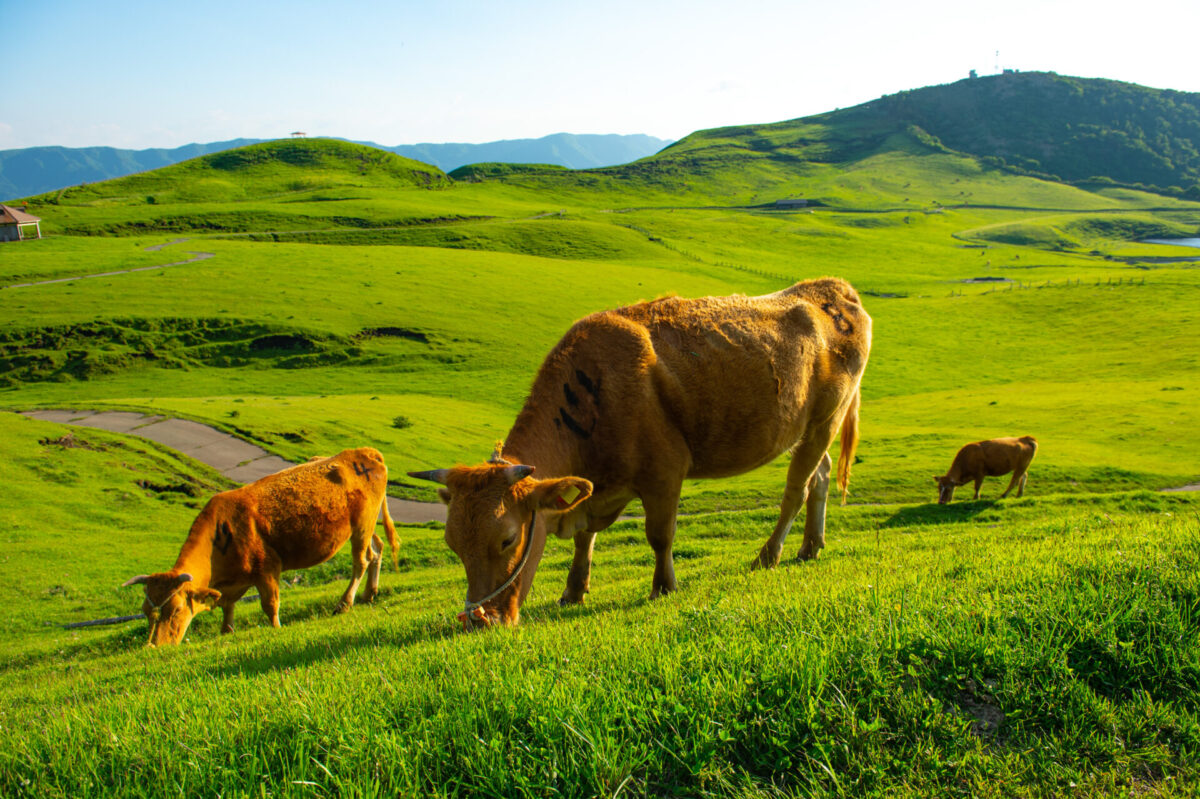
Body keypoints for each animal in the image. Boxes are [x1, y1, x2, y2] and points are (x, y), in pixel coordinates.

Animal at [125, 443, 398, 643]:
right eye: (146, 612)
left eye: (176, 610)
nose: (155, 646)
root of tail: (362, 452)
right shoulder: (234, 582)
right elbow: (226, 605)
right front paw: (226, 631)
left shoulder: (266, 568)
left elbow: (269, 604)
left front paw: (276, 628)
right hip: (366, 525)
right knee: (376, 550)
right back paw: (369, 594)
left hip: (362, 524)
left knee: (361, 561)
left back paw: (344, 603)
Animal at [412, 278, 873, 628]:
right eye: (453, 544)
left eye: (508, 539)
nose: (479, 620)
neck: (590, 395)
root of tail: (832, 288)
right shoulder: (595, 487)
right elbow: (584, 537)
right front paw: (573, 590)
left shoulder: (664, 472)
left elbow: (659, 534)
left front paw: (663, 587)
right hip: (809, 428)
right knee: (820, 477)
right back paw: (811, 546)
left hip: (827, 417)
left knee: (796, 489)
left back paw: (769, 555)